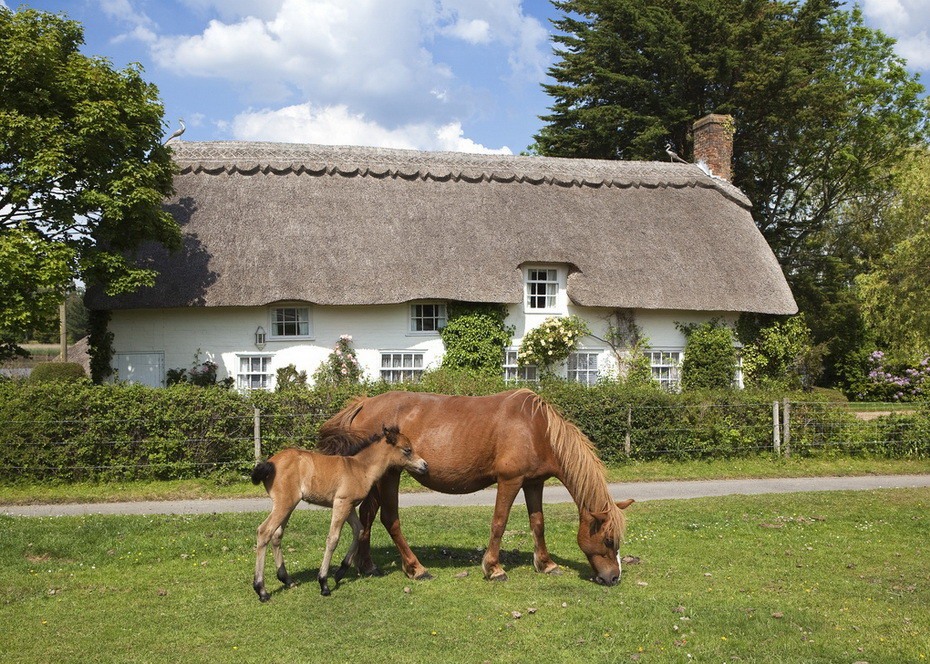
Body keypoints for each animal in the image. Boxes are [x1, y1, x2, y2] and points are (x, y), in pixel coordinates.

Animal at [252, 426, 430, 600]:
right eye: (407, 449)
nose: (424, 465)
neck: (360, 469)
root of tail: (270, 463)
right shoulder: (341, 503)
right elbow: (333, 539)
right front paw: (323, 583)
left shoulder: (349, 506)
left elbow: (359, 530)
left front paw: (340, 573)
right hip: (285, 503)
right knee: (264, 531)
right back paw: (261, 590)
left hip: (287, 506)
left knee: (276, 535)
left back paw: (287, 580)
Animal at [318, 390, 632, 588]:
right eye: (608, 540)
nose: (614, 577)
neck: (536, 429)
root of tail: (365, 403)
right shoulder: (510, 481)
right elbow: (499, 523)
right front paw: (494, 569)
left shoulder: (533, 483)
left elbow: (538, 523)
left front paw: (546, 564)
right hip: (390, 476)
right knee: (389, 519)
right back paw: (416, 568)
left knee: (368, 516)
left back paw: (368, 565)